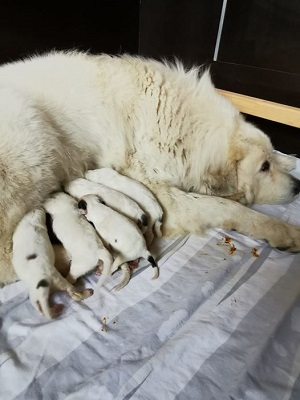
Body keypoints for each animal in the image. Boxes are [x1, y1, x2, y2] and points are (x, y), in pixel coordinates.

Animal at [0, 50, 300, 310]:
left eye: (269, 161)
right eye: (263, 167)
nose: (297, 187)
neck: (179, 121)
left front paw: (289, 163)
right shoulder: (163, 194)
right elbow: (229, 207)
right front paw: (284, 232)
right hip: (34, 143)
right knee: (10, 259)